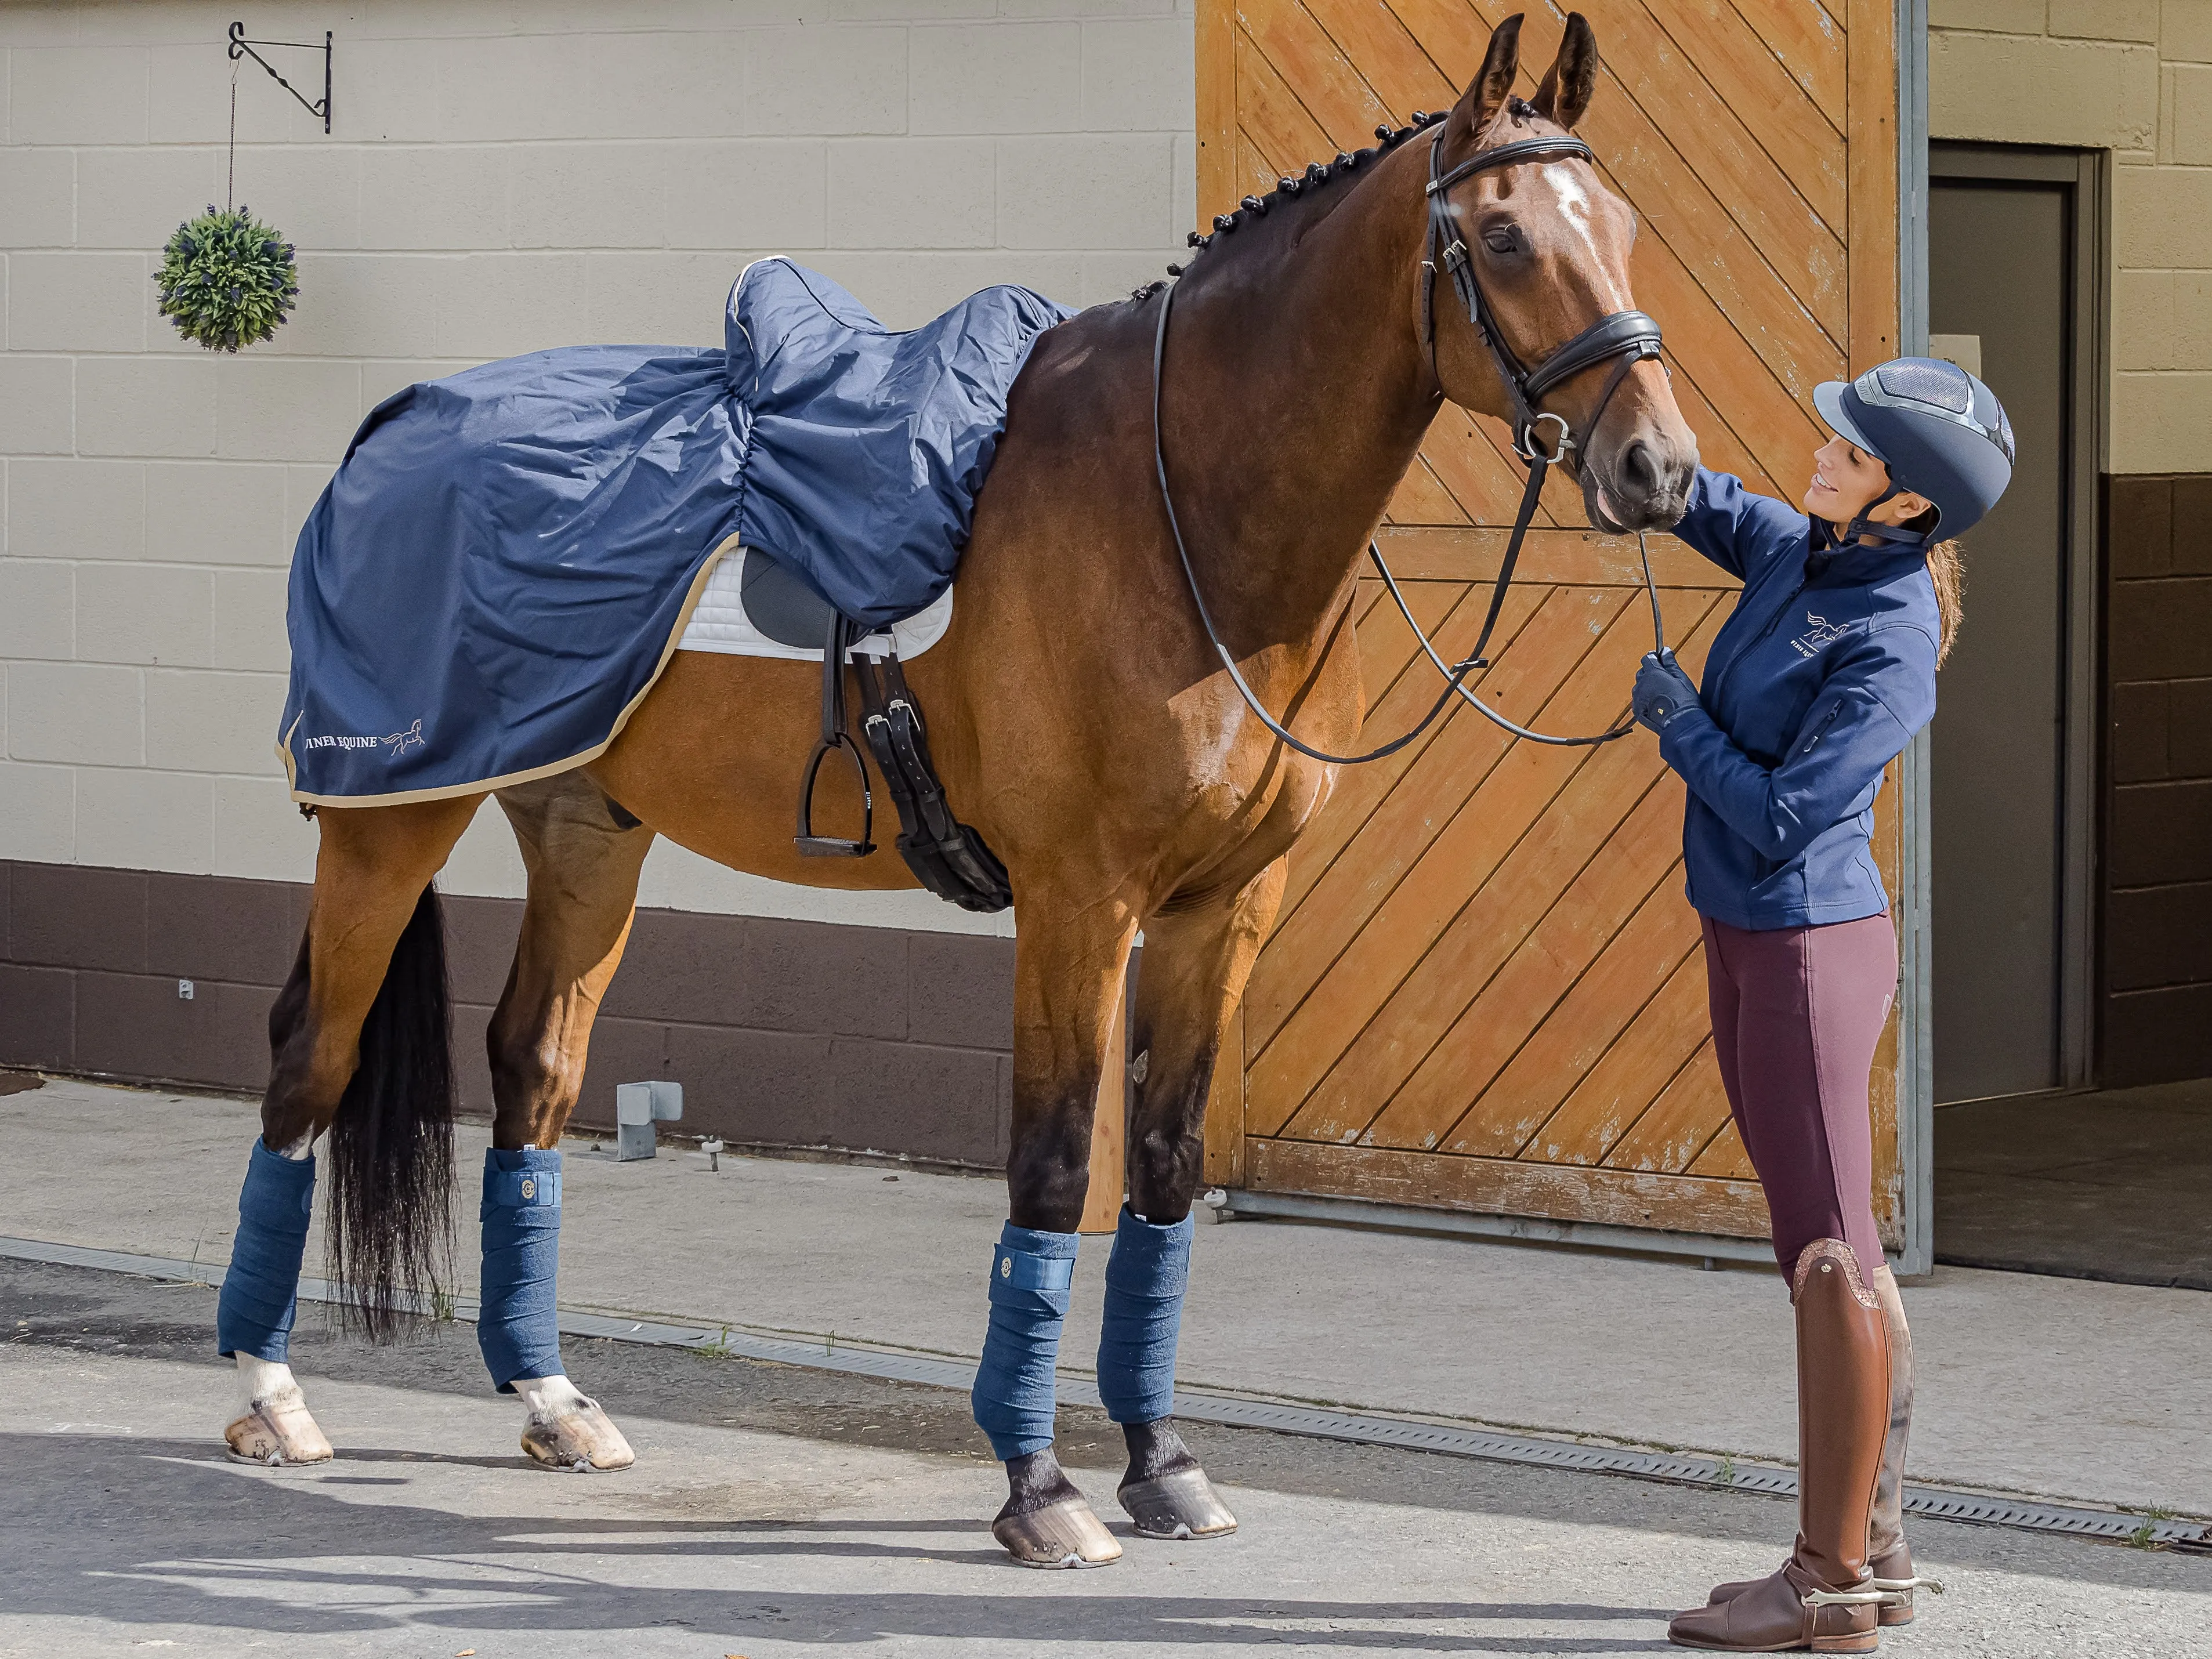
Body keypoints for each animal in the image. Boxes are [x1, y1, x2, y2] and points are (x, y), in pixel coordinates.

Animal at [215, 16, 1690, 1575]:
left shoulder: (1222, 904)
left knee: (533, 1071)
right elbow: (1048, 1168)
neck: (1177, 509)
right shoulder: (1077, 901)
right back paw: (273, 1394)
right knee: (311, 1056)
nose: (1657, 467)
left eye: (1622, 227)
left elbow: (1163, 1172)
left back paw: (555, 1402)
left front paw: (1161, 1464)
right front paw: (1039, 1486)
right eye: (1505, 236)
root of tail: (390, 433)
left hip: (585, 833)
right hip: (390, 822)